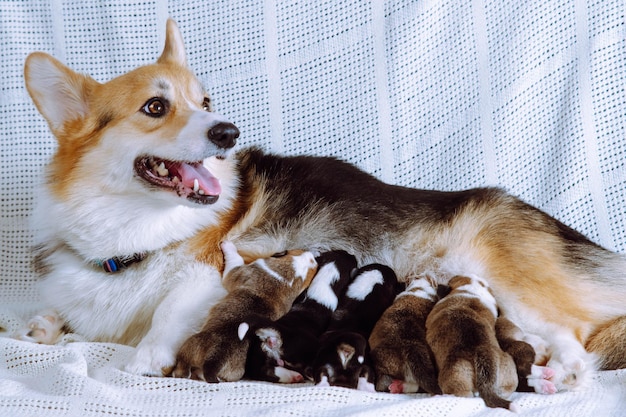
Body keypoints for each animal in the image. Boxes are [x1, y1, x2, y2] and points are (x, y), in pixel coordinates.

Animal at [171, 239, 316, 382]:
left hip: (189, 347)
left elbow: (234, 261)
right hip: (235, 373)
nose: (313, 256)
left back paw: (179, 373)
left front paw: (228, 246)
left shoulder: (237, 271)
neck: (289, 274)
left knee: (183, 366)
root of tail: (213, 361)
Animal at [243, 249, 356, 382]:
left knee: (268, 370)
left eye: (335, 251)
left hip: (259, 356)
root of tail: (275, 339)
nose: (351, 254)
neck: (325, 280)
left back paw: (293, 376)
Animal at [424, 274, 516, 408]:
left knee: (463, 395)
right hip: (508, 365)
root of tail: (483, 354)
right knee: (508, 388)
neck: (471, 290)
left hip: (456, 377)